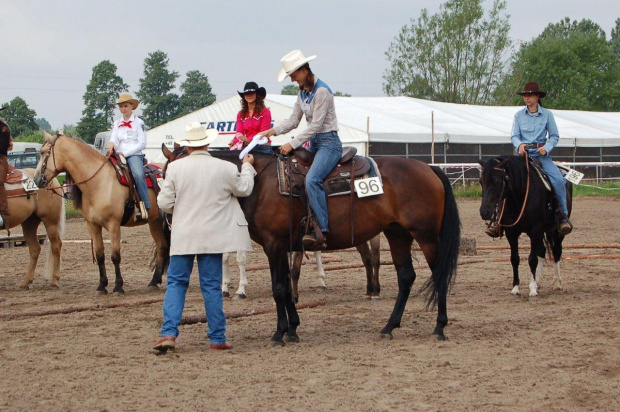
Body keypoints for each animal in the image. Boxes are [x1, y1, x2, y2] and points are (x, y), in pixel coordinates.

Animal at [33, 130, 170, 294]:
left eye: (43, 152)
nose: (36, 180)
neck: (99, 182)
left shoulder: (113, 225)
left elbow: (115, 255)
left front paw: (118, 286)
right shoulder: (92, 226)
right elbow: (100, 255)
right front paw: (102, 285)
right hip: (155, 221)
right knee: (162, 246)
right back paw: (154, 282)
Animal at [162, 145, 458, 344]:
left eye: (172, 176)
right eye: (162, 175)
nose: (168, 217)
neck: (259, 183)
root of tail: (429, 168)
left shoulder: (274, 245)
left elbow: (279, 288)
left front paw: (279, 332)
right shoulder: (279, 247)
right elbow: (283, 286)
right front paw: (292, 328)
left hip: (425, 236)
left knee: (438, 274)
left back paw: (439, 327)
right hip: (397, 234)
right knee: (406, 277)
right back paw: (389, 326)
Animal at [478, 155, 572, 296]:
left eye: (497, 180)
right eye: (480, 181)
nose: (484, 212)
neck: (519, 196)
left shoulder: (535, 230)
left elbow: (532, 259)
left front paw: (532, 289)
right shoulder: (511, 233)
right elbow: (514, 259)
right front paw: (516, 288)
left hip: (556, 231)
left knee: (556, 251)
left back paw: (557, 283)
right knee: (542, 251)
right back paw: (538, 282)